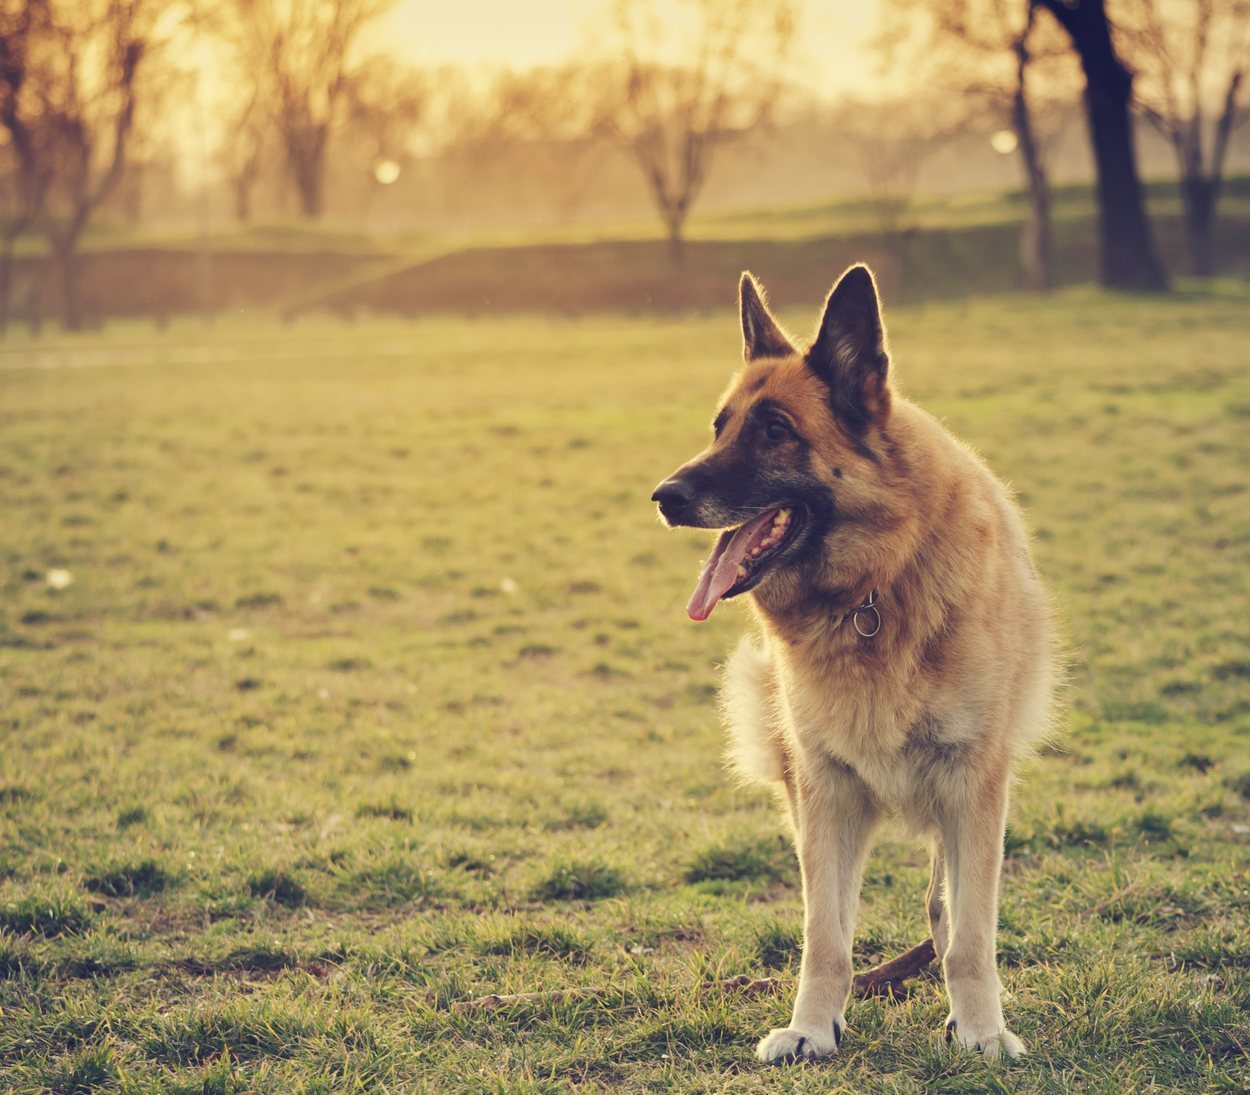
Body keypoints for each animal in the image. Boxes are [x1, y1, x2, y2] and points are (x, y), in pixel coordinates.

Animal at [655, 265, 1055, 1060]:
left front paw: (982, 1029)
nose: (664, 497)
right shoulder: (826, 793)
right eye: (720, 426)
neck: (873, 588)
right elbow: (825, 936)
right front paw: (814, 1027)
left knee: (947, 905)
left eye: (775, 431)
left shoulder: (974, 783)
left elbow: (971, 935)